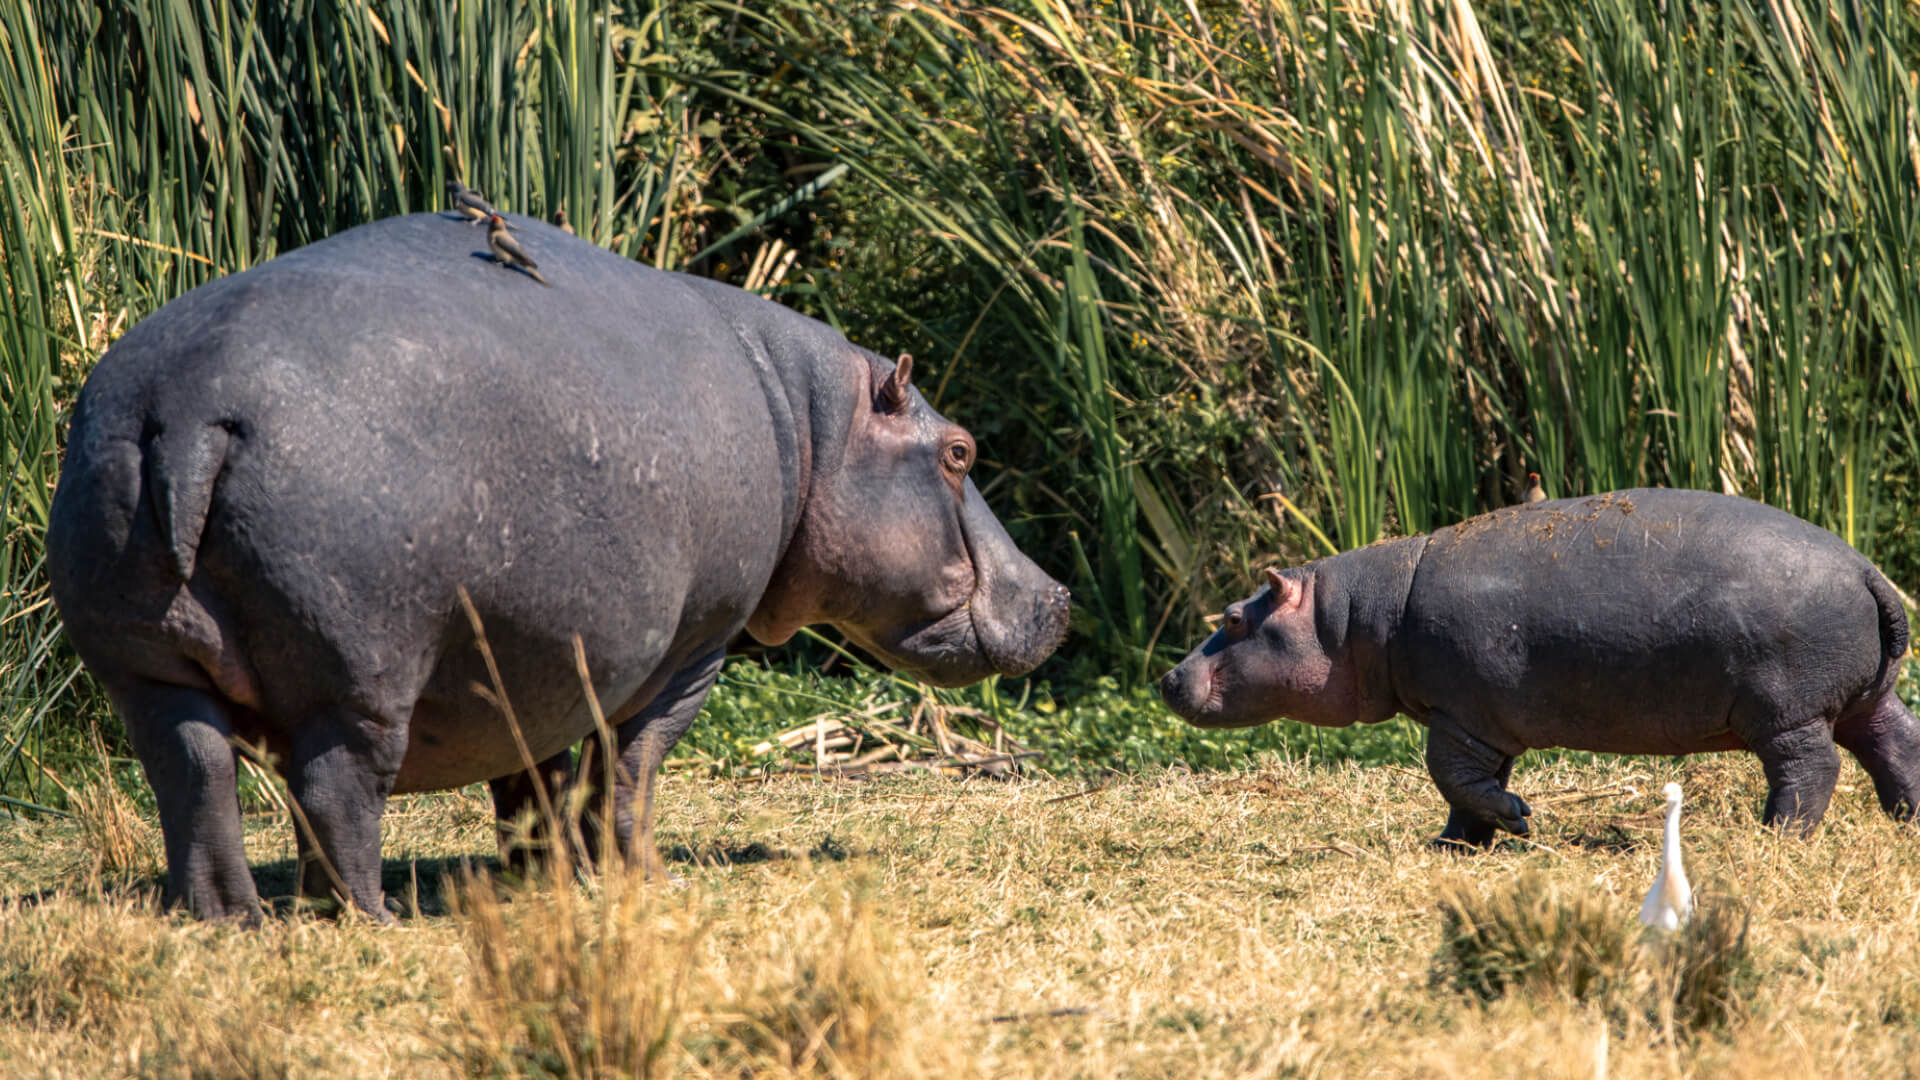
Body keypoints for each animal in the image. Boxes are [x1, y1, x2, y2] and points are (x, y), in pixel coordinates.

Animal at [46, 213, 1070, 921]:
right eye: (960, 452)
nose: (1058, 595)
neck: (811, 423)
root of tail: (187, 408)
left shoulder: (531, 652)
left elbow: (532, 776)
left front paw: (544, 876)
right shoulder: (689, 649)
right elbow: (627, 770)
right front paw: (637, 877)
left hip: (144, 666)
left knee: (195, 777)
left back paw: (231, 917)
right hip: (360, 674)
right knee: (337, 788)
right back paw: (366, 916)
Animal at [1160, 489, 1918, 844]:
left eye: (1233, 619)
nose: (1167, 677)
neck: (1354, 616)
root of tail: (1867, 570)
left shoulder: (1460, 714)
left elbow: (1453, 777)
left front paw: (1519, 821)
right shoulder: (1479, 722)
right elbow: (1467, 790)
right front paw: (1454, 845)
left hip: (1787, 710)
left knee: (1809, 769)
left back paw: (1776, 836)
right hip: (1861, 698)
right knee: (1895, 742)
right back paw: (1904, 820)